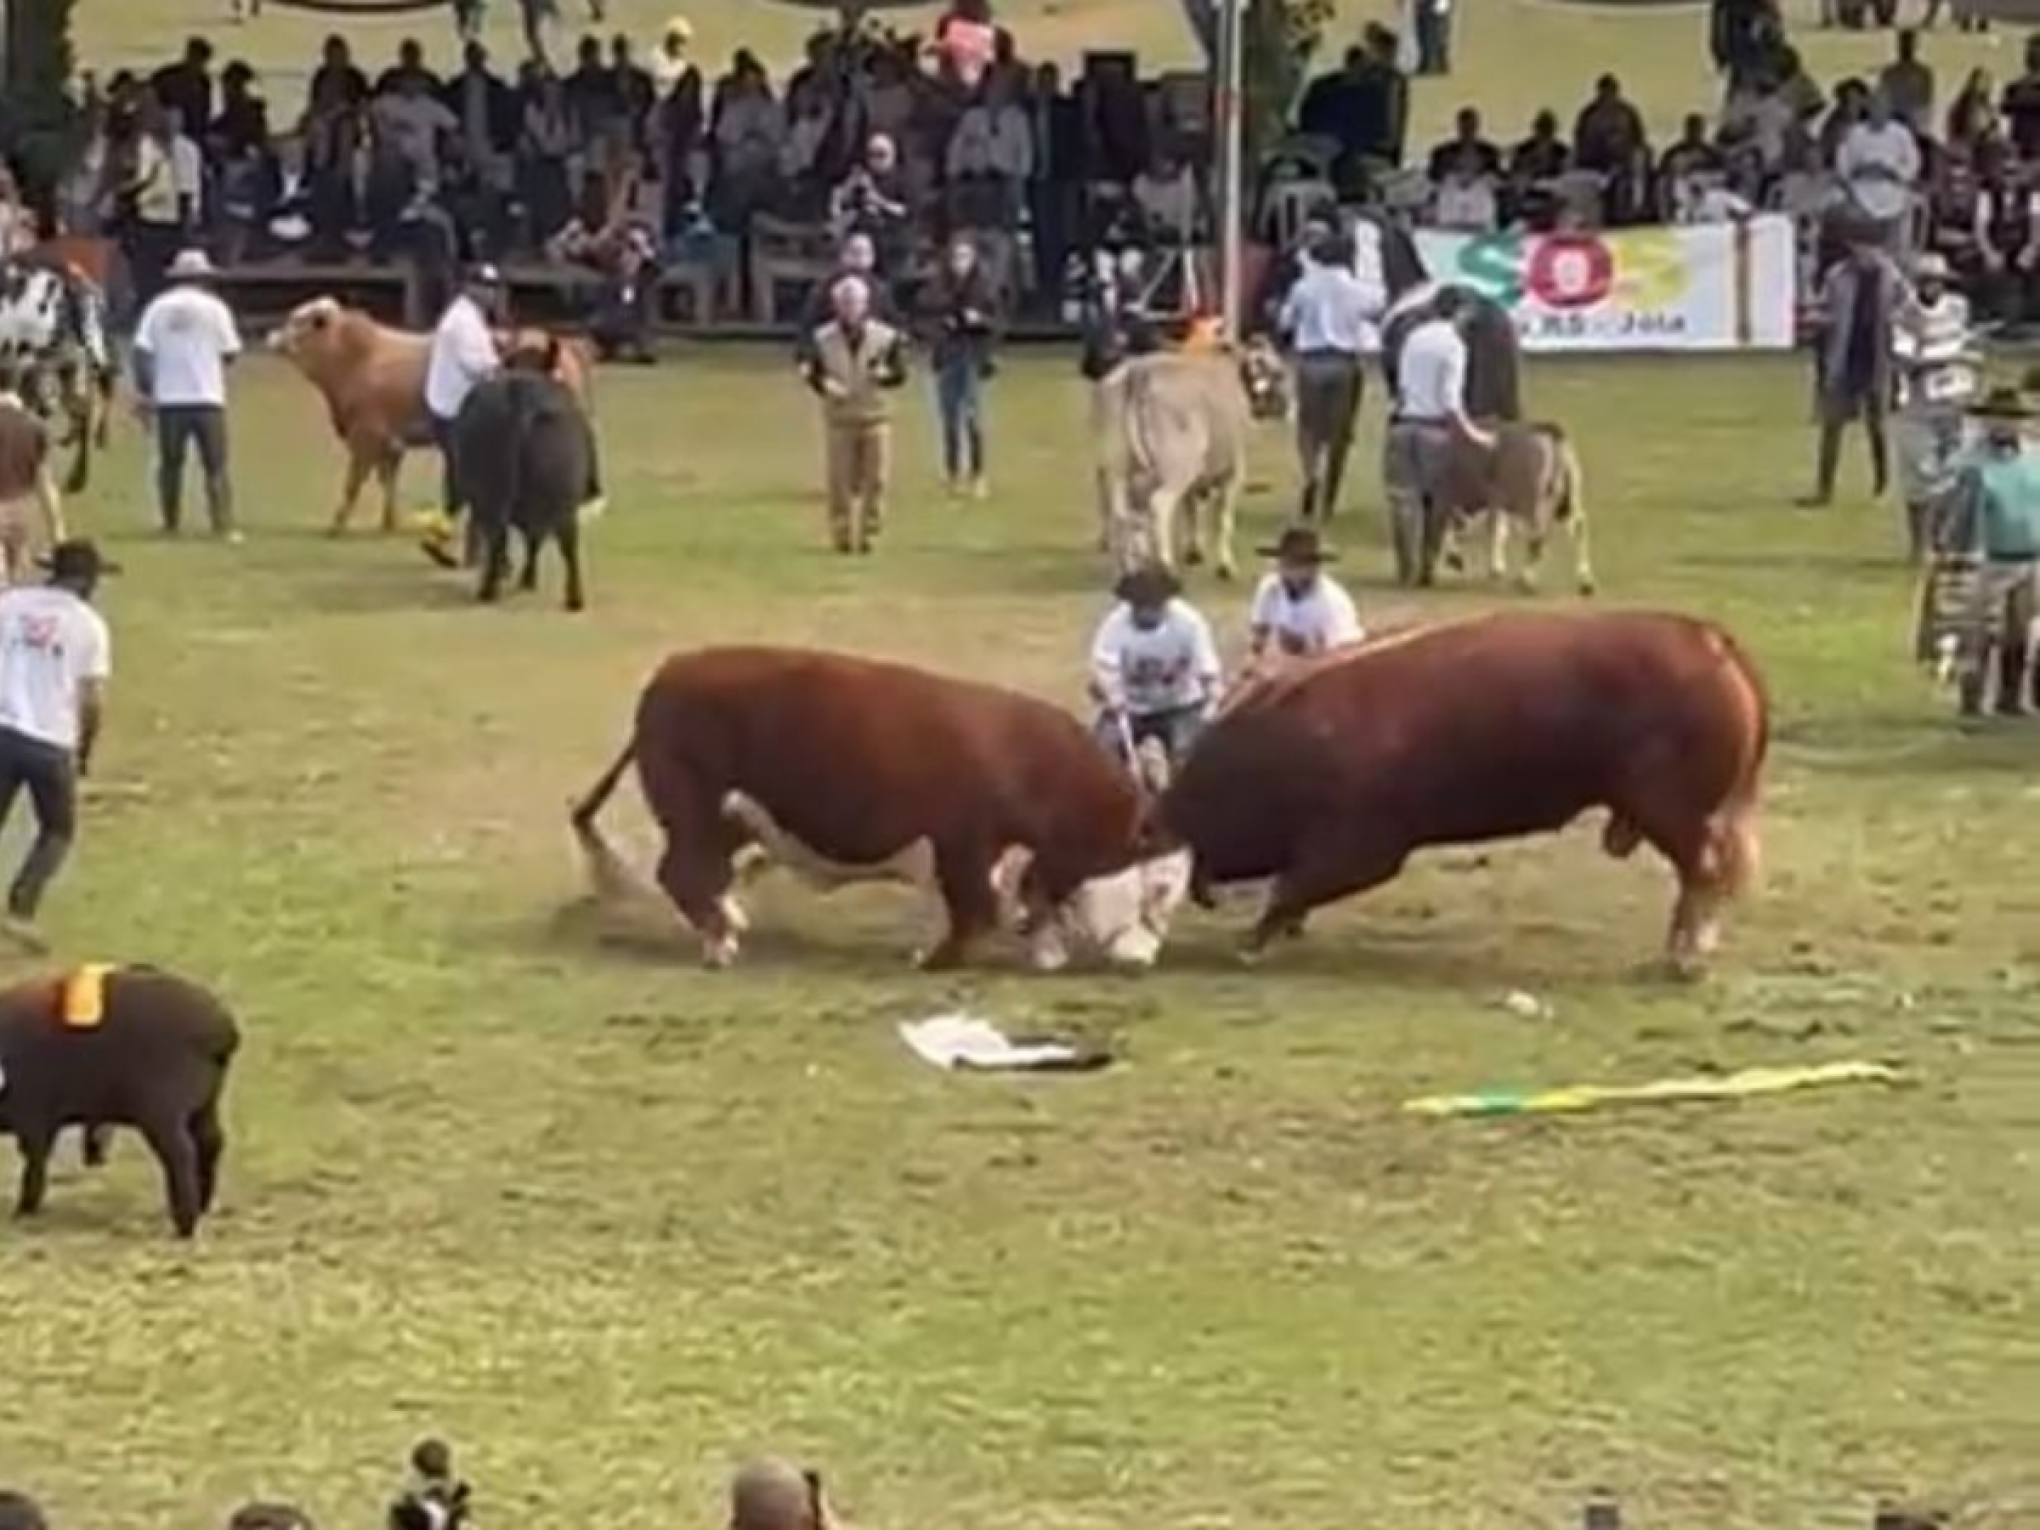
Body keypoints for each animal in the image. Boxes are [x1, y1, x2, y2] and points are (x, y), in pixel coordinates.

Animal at [567, 648, 1191, 971]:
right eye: (1157, 886)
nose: (1142, 959)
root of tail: (672, 670)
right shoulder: (964, 843)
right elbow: (979, 909)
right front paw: (935, 958)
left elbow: (1029, 899)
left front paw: (1046, 950)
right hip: (692, 809)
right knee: (682, 872)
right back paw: (720, 943)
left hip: (730, 818)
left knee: (702, 874)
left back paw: (730, 921)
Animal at [1093, 340, 1281, 579]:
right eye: (1278, 373)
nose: (1286, 407)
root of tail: (1140, 370)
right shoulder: (1234, 471)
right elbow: (1223, 518)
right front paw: (1225, 565)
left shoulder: (1198, 476)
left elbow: (1192, 507)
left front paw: (1194, 551)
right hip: (1178, 465)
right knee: (1159, 505)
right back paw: (1165, 564)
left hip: (1118, 468)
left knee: (1120, 513)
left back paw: (1127, 567)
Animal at [1150, 607, 1770, 975]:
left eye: (1201, 792)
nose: (1156, 829)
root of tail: (1710, 640)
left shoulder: (1365, 847)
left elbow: (1292, 886)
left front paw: (1251, 941)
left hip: (1674, 811)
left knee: (1704, 872)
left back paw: (1686, 958)